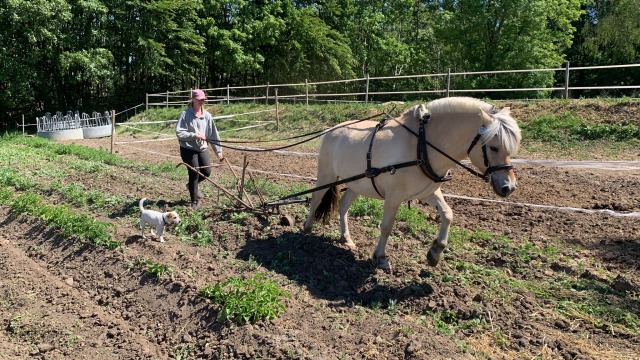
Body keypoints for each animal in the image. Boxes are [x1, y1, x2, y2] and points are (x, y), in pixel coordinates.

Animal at [304, 96, 520, 270]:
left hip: (358, 184)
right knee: (315, 198)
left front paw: (435, 252)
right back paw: (307, 228)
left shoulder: (427, 192)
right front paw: (380, 257)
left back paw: (346, 238)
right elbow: (386, 226)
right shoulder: (393, 196)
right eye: (493, 147)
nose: (509, 187)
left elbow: (447, 214)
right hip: (326, 175)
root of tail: (331, 130)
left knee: (343, 206)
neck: (421, 146)